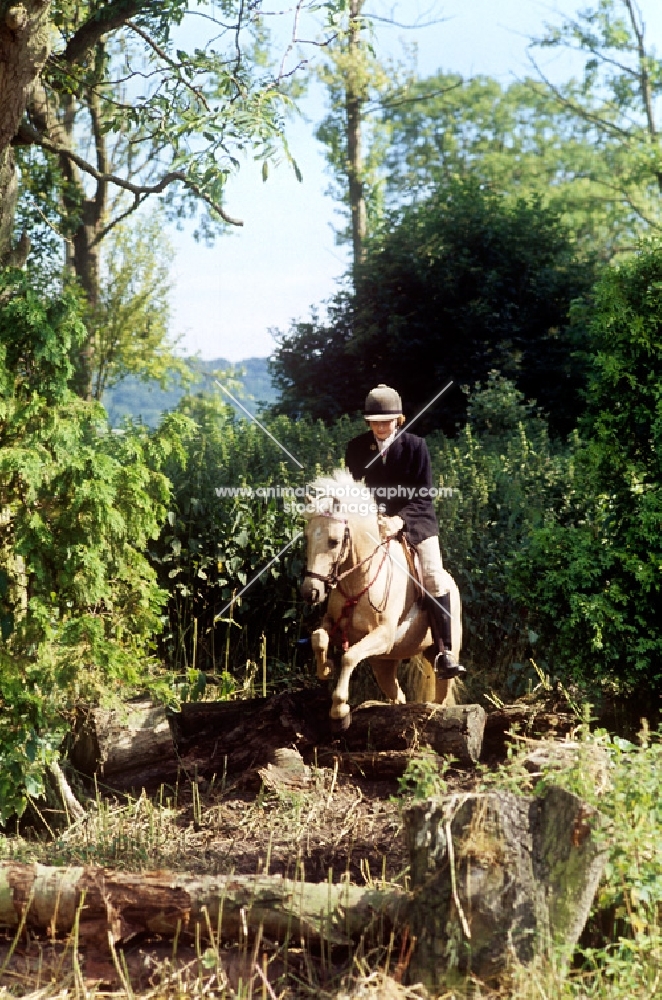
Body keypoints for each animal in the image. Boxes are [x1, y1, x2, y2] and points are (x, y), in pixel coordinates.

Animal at [300, 472, 462, 724]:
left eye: (334, 541)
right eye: (307, 538)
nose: (310, 592)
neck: (357, 581)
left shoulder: (383, 635)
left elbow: (349, 656)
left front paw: (340, 708)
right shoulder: (336, 625)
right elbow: (318, 637)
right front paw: (325, 668)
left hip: (442, 650)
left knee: (441, 695)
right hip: (384, 663)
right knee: (398, 696)